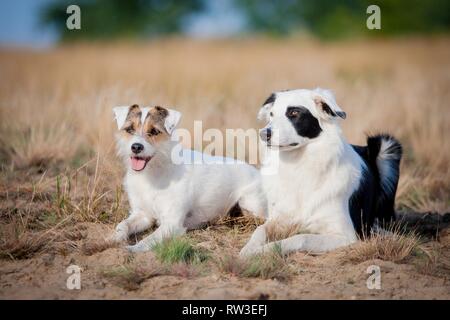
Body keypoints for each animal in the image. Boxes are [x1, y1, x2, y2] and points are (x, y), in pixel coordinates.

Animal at [241, 88, 402, 258]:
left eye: (294, 113)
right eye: (271, 114)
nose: (263, 134)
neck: (299, 165)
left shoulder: (344, 235)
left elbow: (301, 237)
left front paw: (263, 251)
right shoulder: (279, 218)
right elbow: (260, 230)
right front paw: (249, 249)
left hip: (387, 145)